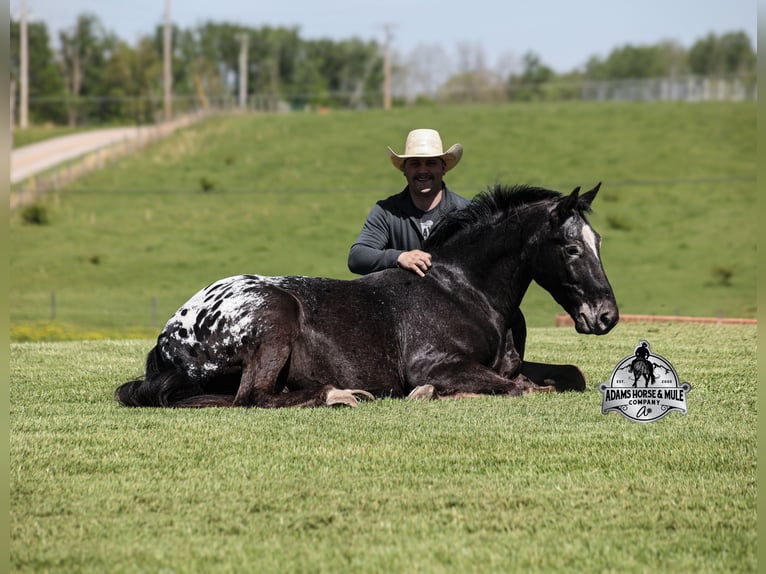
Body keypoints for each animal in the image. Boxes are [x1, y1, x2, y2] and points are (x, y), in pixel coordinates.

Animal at [116, 183, 618, 409]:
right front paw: (428, 393)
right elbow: (519, 388)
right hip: (276, 317)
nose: (606, 316)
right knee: (255, 397)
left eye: (597, 242)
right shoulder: (435, 364)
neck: (465, 291)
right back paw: (341, 394)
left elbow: (565, 376)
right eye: (570, 248)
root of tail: (169, 336)